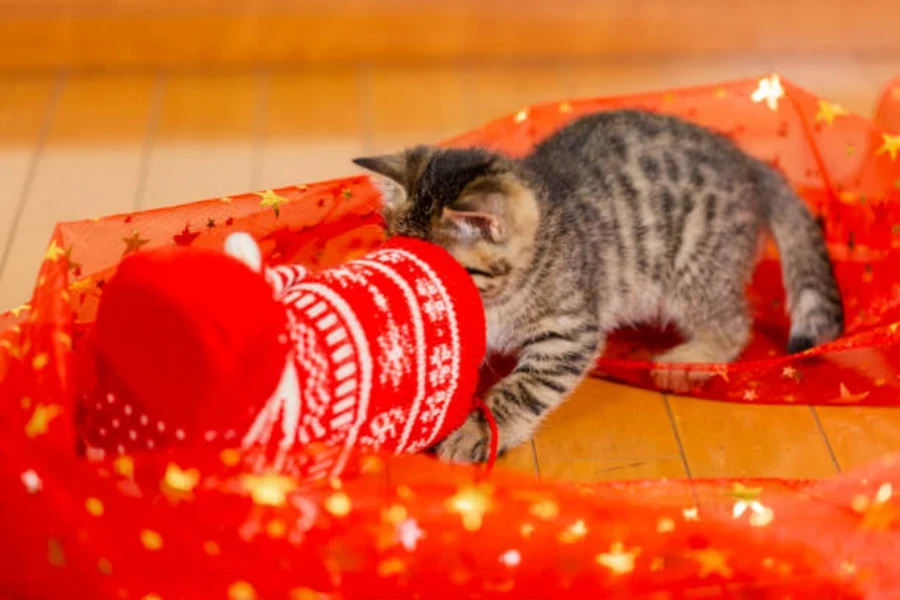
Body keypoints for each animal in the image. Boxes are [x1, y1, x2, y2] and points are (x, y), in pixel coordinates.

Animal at [352, 109, 844, 464]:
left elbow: (524, 388)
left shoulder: (570, 331)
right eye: (399, 256)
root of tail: (747, 162)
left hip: (693, 266)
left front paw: (478, 429)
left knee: (735, 321)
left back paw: (692, 358)